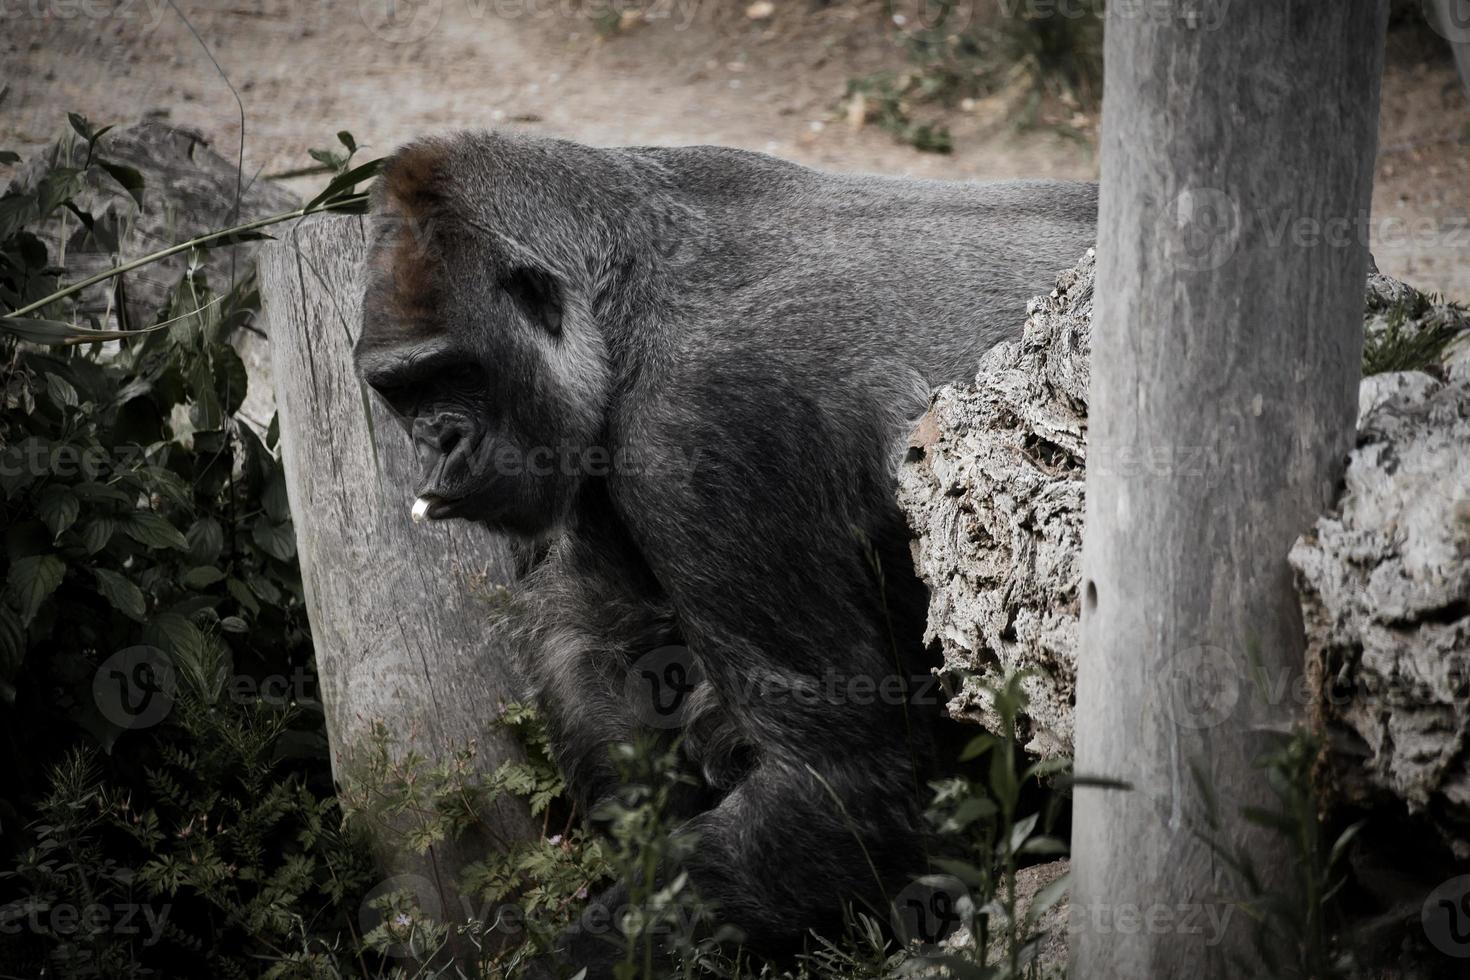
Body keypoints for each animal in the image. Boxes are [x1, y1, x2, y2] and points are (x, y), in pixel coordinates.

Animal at [352, 132, 1093, 975]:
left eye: (456, 372)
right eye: (400, 390)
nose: (436, 442)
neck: (623, 292)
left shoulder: (708, 428)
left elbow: (840, 785)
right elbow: (605, 659)